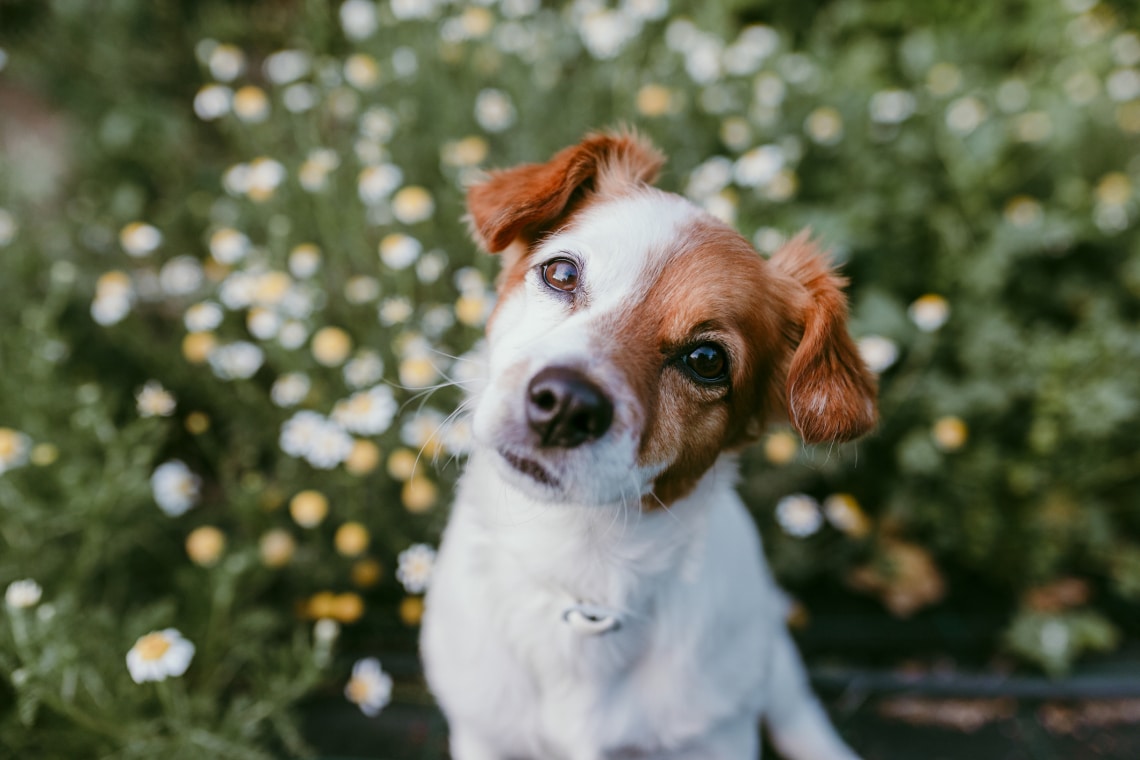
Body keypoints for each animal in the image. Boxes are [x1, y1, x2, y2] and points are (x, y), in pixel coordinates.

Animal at [419, 132, 870, 760]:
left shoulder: (719, 736)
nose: (565, 403)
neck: (584, 575)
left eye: (706, 360)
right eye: (561, 273)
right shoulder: (484, 733)